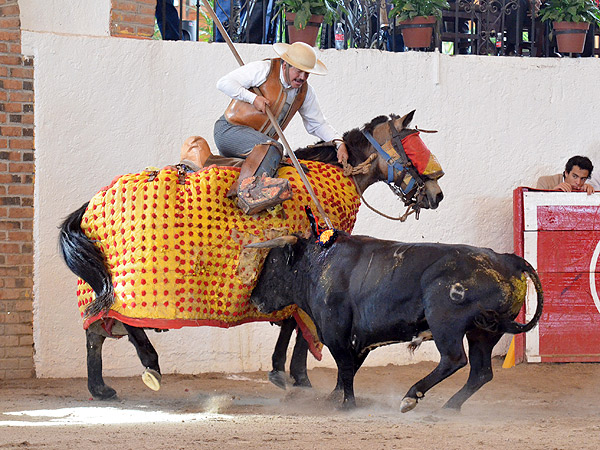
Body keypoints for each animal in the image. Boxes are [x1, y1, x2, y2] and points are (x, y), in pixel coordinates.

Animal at [59, 110, 446, 400]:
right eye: (412, 147)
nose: (436, 193)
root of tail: (92, 202)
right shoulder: (307, 264)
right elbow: (299, 321)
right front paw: (293, 374)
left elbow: (294, 320)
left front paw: (288, 372)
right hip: (130, 283)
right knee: (121, 321)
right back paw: (149, 364)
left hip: (100, 282)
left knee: (96, 330)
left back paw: (101, 388)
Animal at [248, 232, 544, 412]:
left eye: (272, 263)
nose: (254, 297)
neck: (321, 265)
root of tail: (508, 260)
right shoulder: (360, 340)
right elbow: (348, 371)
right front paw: (334, 399)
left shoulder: (336, 334)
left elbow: (345, 368)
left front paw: (347, 405)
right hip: (482, 332)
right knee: (481, 372)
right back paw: (449, 407)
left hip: (445, 323)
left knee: (454, 359)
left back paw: (411, 397)